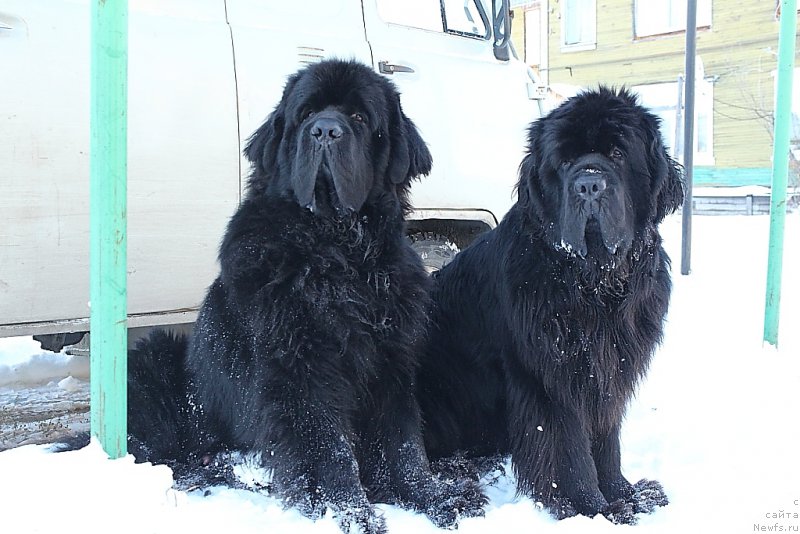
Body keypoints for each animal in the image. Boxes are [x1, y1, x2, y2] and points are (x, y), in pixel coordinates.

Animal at [126, 59, 482, 534]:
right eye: (306, 114)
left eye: (359, 118)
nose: (325, 131)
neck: (337, 253)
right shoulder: (301, 371)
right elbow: (329, 448)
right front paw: (349, 515)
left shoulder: (391, 361)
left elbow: (404, 443)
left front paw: (433, 498)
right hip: (157, 359)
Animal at [416, 88, 684, 528]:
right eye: (563, 161)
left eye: (617, 152)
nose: (589, 185)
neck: (593, 283)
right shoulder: (550, 378)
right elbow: (569, 451)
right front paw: (592, 508)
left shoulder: (608, 370)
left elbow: (606, 441)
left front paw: (626, 494)